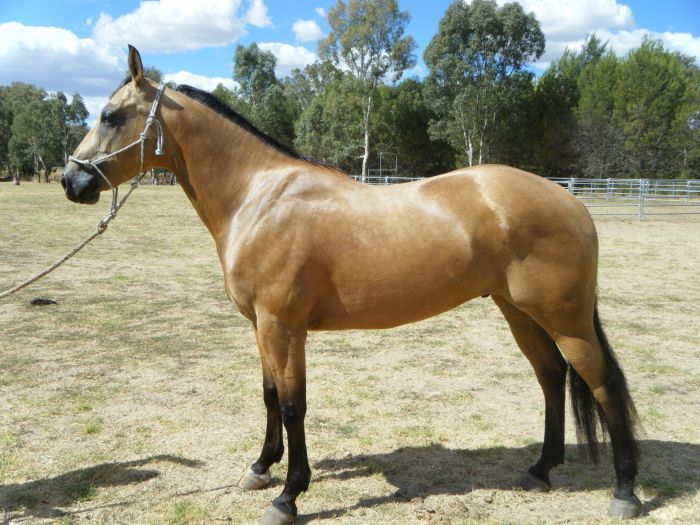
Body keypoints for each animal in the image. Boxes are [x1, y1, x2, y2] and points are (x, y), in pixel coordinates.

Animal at [61, 46, 641, 524]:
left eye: (110, 116)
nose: (72, 181)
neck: (259, 197)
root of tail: (570, 200)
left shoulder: (284, 326)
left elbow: (293, 405)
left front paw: (289, 495)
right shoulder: (261, 326)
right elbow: (269, 396)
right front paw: (261, 468)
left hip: (566, 320)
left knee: (602, 385)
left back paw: (625, 491)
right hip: (518, 312)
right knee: (551, 377)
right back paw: (541, 469)